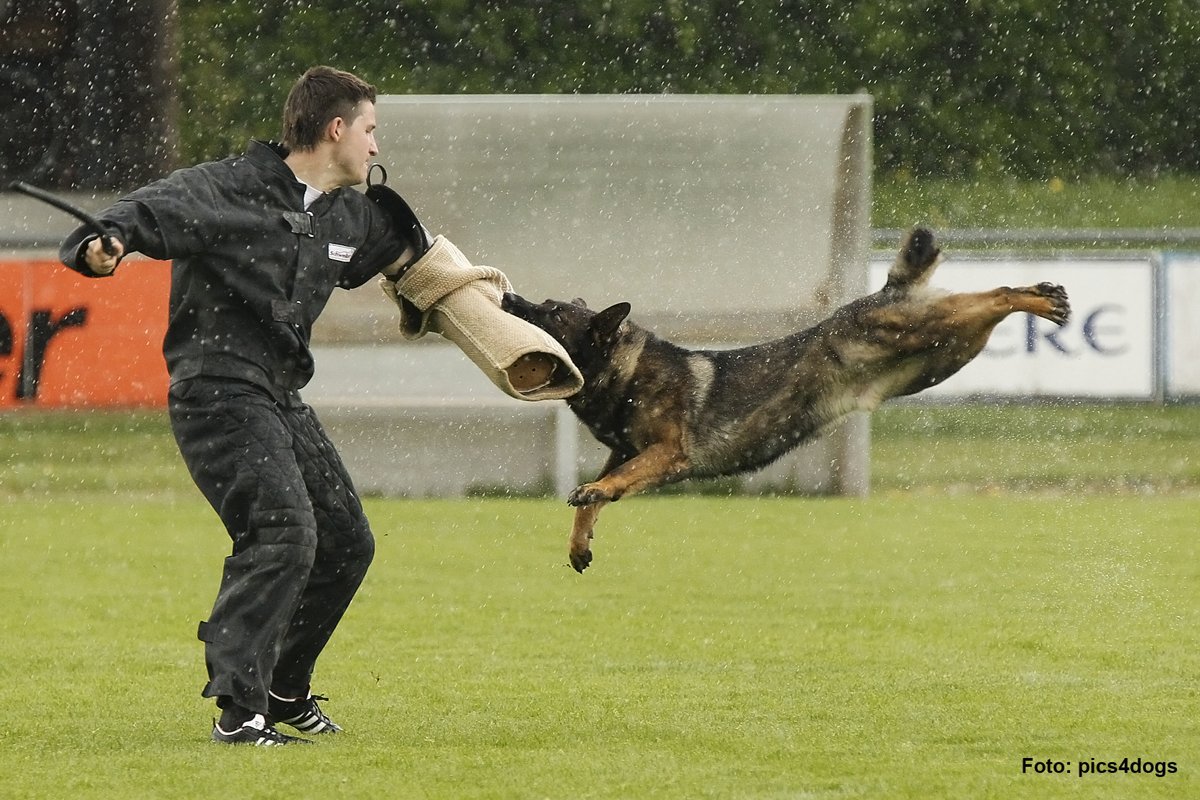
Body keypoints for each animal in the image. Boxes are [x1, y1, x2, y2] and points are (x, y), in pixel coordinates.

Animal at [501, 227, 1075, 573]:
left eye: (552, 313)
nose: (507, 296)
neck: (625, 372)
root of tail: (885, 290)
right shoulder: (625, 450)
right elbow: (599, 497)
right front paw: (580, 540)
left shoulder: (666, 454)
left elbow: (612, 483)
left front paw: (592, 495)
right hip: (945, 354)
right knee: (987, 306)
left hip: (923, 331)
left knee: (996, 293)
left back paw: (1042, 299)